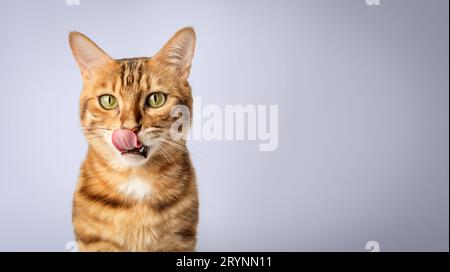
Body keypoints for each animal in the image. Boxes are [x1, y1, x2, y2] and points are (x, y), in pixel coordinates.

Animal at [69, 27, 199, 251]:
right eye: (108, 101)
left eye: (156, 99)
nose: (130, 129)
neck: (135, 180)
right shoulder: (96, 241)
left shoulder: (179, 240)